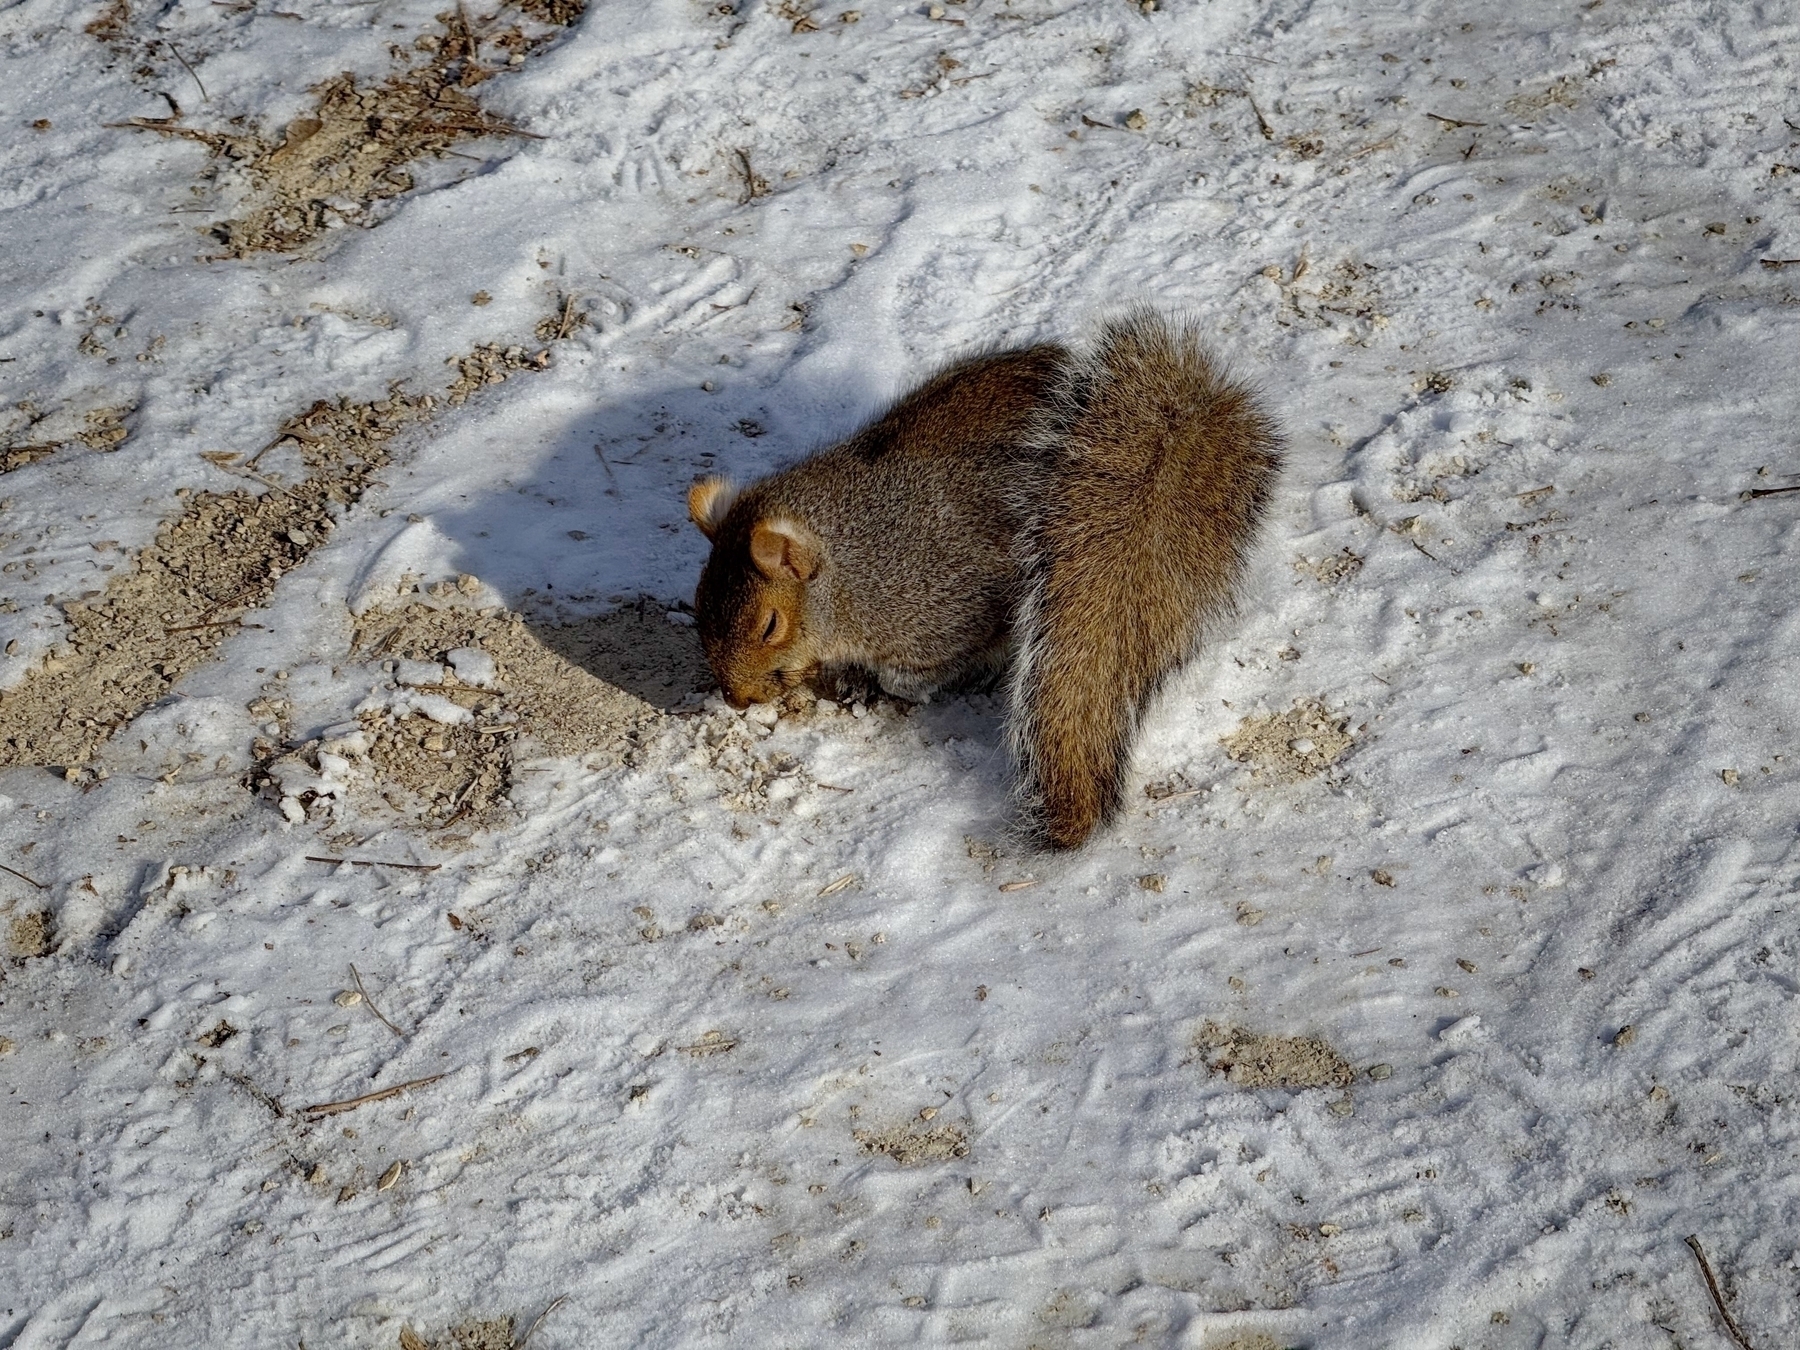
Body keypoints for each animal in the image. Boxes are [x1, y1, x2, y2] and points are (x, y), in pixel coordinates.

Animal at [684, 311, 1281, 849]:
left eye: (769, 625)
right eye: (698, 604)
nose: (737, 700)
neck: (854, 567)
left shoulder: (942, 601)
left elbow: (915, 671)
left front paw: (878, 685)